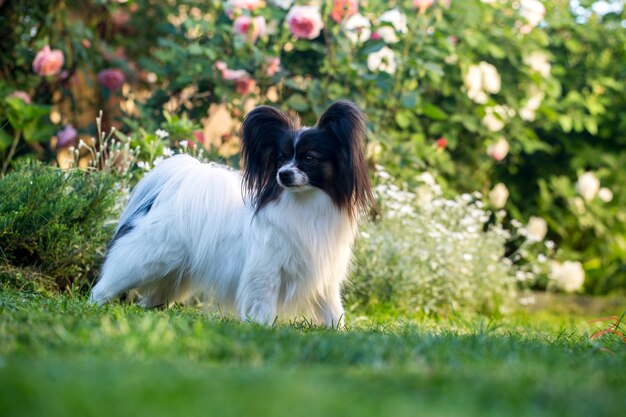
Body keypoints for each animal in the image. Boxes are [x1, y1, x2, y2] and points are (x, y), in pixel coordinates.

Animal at [88, 100, 370, 324]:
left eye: (309, 158)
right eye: (280, 158)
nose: (283, 174)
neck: (304, 204)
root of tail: (175, 188)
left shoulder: (323, 275)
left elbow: (332, 309)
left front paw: (339, 331)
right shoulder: (265, 269)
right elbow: (262, 302)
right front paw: (261, 326)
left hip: (173, 274)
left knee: (152, 297)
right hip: (145, 260)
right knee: (108, 282)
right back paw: (93, 305)